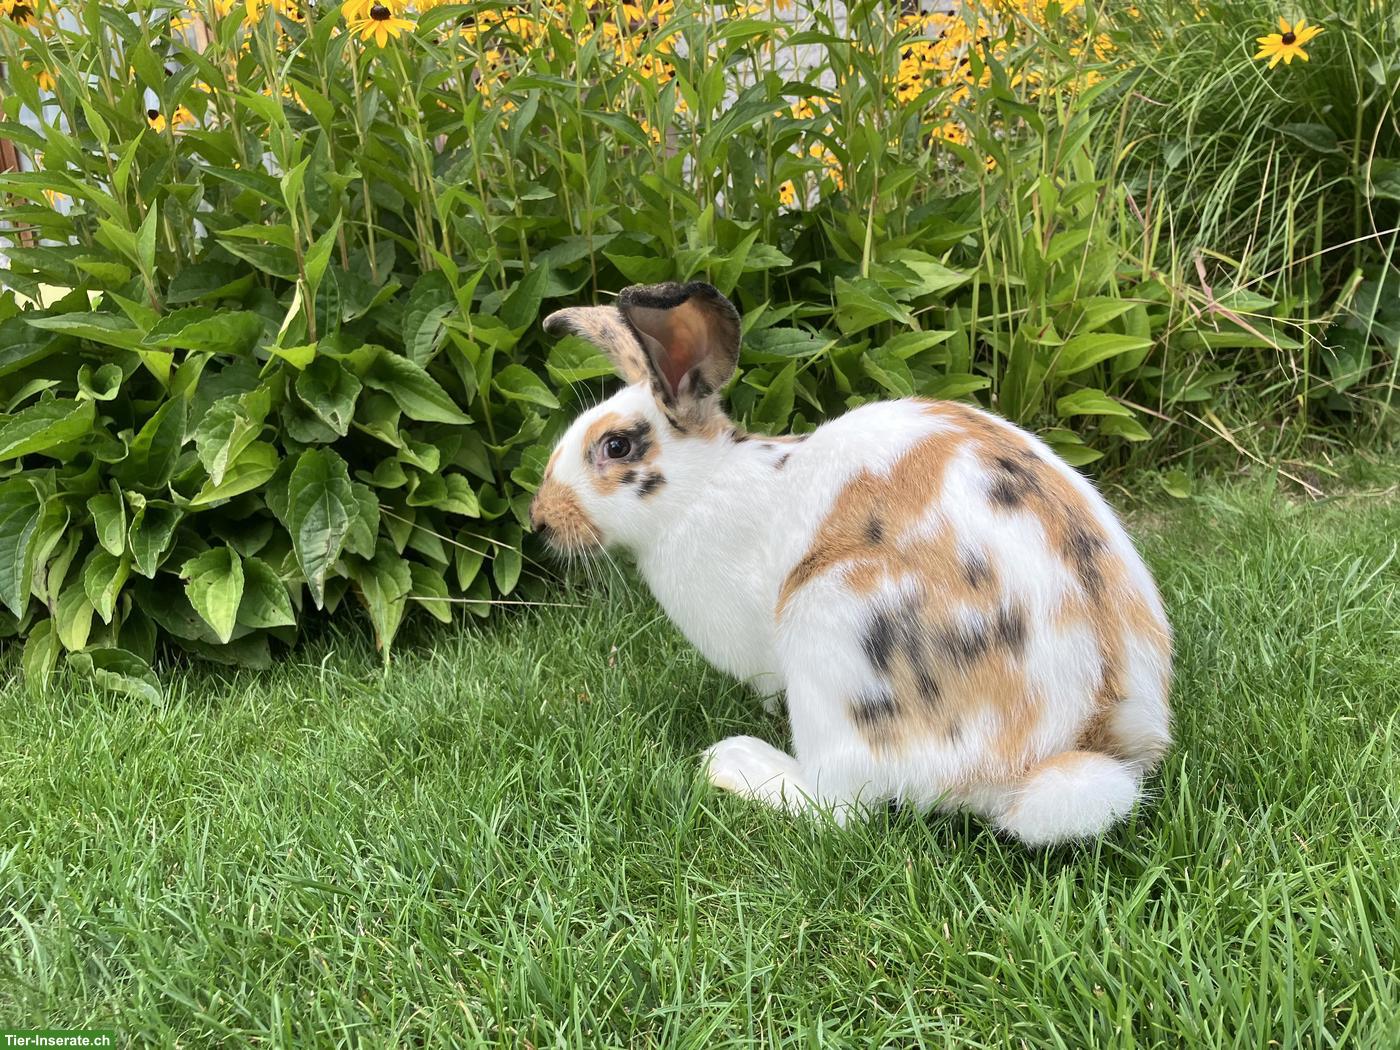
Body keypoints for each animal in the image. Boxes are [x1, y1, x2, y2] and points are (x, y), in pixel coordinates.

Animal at [530, 281, 1172, 846]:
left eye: (616, 446)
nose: (538, 520)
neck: (704, 488)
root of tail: (1070, 744)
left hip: (829, 627)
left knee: (839, 807)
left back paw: (732, 762)